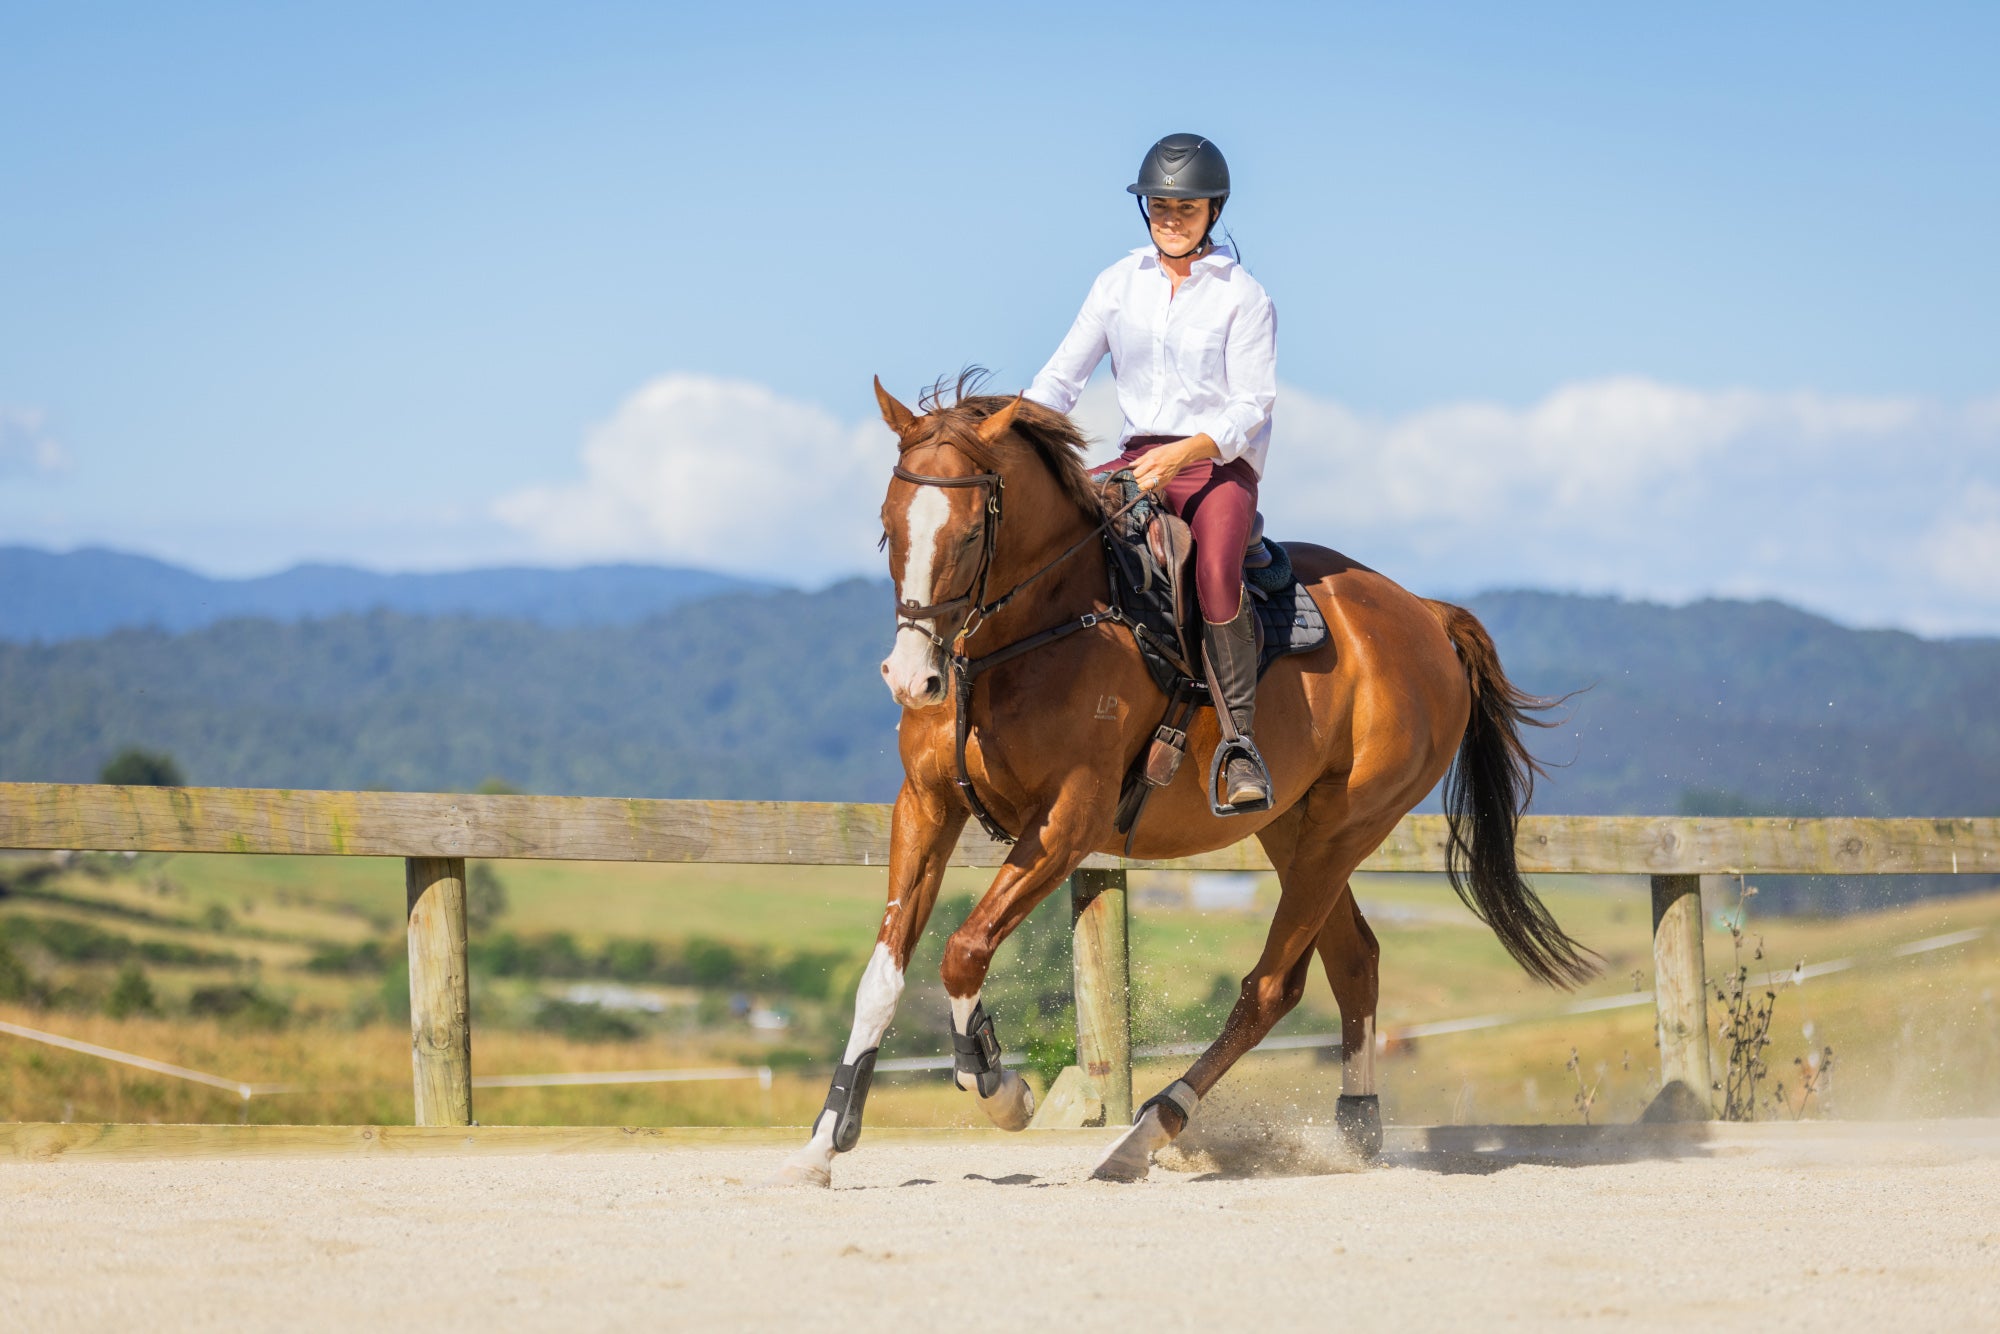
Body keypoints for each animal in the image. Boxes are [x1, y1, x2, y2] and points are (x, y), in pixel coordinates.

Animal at [768, 378, 1592, 1192]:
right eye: (888, 528)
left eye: (971, 536)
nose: (914, 680)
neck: (1030, 635)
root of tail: (1424, 614)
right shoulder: (926, 807)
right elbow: (883, 976)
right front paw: (824, 1143)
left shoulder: (1068, 822)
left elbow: (964, 951)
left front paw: (1000, 1087)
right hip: (1295, 831)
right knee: (1353, 962)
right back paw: (1355, 1129)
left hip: (1344, 828)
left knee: (1270, 988)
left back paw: (1144, 1135)